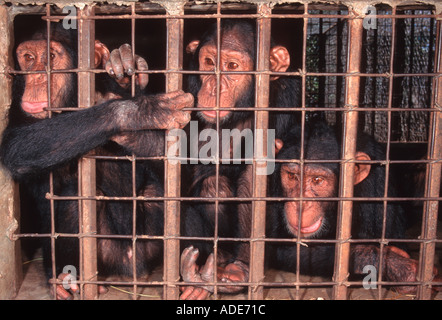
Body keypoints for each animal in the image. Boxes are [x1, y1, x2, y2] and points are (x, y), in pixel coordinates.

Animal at [0, 23, 193, 300]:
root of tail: (131, 269)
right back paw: (67, 279)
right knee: (75, 198)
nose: (37, 78)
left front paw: (123, 66)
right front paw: (141, 112)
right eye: (28, 58)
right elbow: (15, 144)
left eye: (50, 57)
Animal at [179, 18, 300, 298]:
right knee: (213, 187)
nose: (213, 86)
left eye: (232, 66)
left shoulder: (286, 97)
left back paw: (238, 270)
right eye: (209, 62)